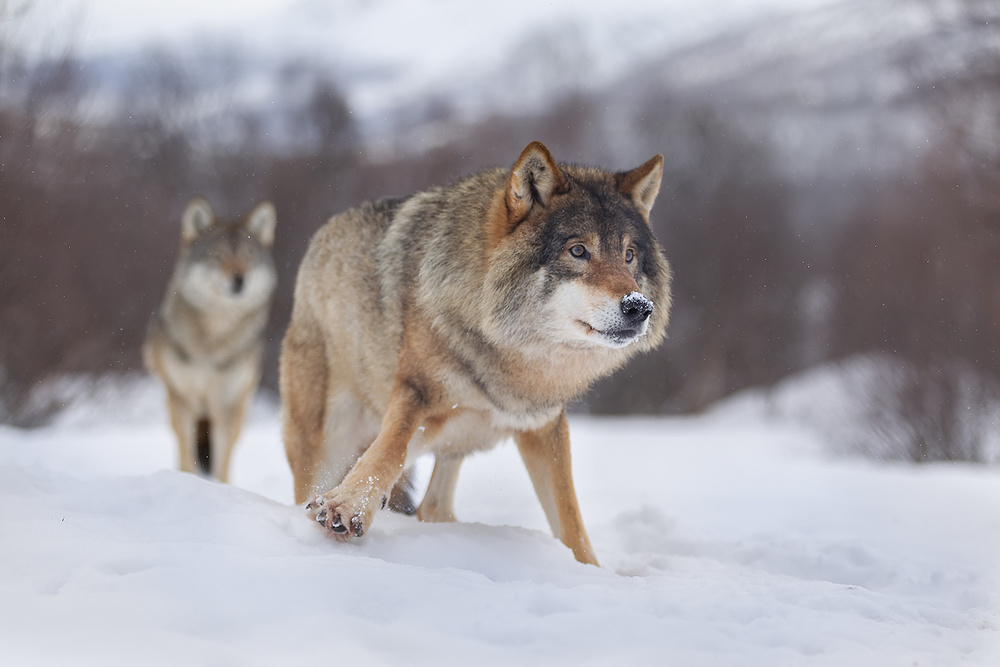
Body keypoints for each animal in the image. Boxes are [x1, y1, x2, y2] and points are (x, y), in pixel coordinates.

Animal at [145, 198, 278, 486]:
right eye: (218, 256)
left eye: (248, 257)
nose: (239, 279)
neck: (212, 341)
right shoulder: (182, 399)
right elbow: (186, 454)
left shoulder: (226, 404)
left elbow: (223, 461)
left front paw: (221, 489)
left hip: (240, 407)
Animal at [282, 144, 672, 568]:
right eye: (578, 251)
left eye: (629, 255)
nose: (638, 306)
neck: (512, 355)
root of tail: (322, 237)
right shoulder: (416, 392)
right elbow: (389, 450)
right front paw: (347, 505)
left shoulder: (544, 425)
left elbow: (571, 522)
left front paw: (591, 572)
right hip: (329, 440)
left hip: (450, 441)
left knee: (431, 507)